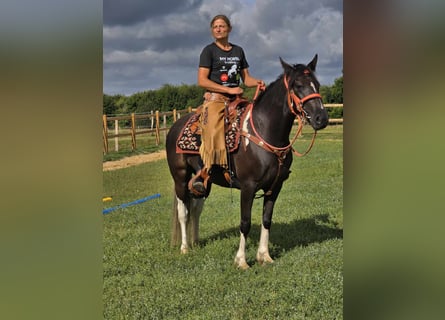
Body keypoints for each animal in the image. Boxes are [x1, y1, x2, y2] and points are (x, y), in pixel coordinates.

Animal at [165, 53, 328, 268]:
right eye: (298, 85)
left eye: (317, 84)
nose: (321, 118)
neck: (265, 132)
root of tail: (175, 126)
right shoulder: (248, 186)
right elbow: (245, 221)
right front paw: (241, 260)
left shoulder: (275, 187)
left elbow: (267, 219)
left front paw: (264, 255)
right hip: (180, 177)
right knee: (183, 211)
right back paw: (184, 247)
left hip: (202, 183)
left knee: (196, 208)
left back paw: (196, 242)